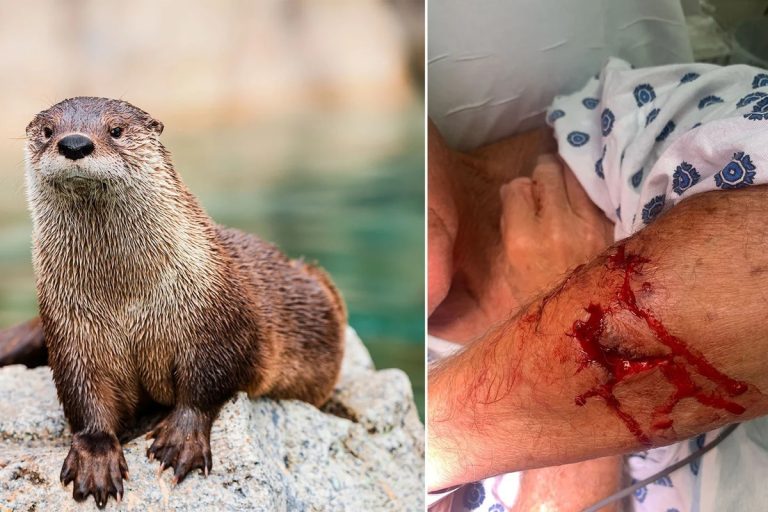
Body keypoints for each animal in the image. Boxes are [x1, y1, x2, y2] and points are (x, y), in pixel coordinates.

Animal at [12, 97, 346, 508]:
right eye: (48, 131)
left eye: (116, 130)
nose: (74, 143)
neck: (127, 297)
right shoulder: (71, 328)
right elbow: (83, 393)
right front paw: (96, 456)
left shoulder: (216, 317)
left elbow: (210, 379)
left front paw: (182, 438)